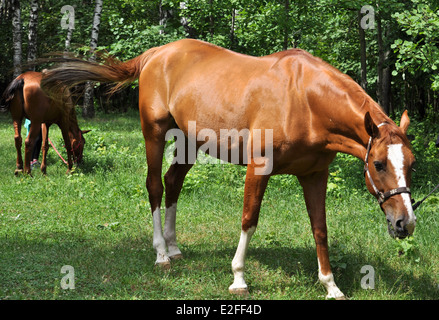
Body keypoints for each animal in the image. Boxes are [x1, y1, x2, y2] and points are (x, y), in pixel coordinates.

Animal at [40, 38, 416, 298]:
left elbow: (320, 228)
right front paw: (238, 278)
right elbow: (249, 220)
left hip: (189, 142)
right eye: (378, 164)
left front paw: (330, 285)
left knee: (172, 182)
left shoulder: (314, 175)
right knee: (155, 186)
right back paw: (161, 253)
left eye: (411, 164)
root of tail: (156, 54)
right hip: (155, 135)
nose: (405, 223)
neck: (305, 100)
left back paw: (174, 248)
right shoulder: (258, 169)